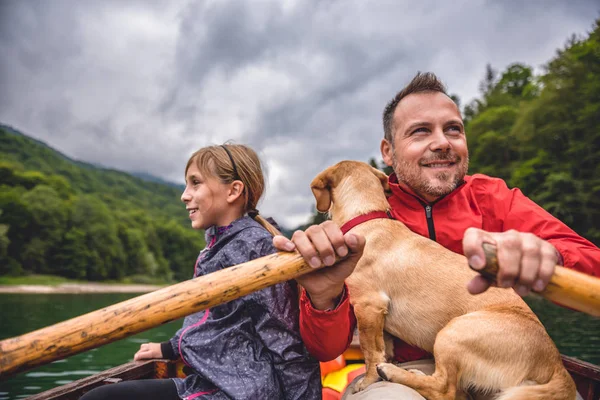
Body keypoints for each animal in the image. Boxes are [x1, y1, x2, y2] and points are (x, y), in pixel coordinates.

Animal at [312, 160, 576, 400]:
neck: (367, 217)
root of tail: (556, 365)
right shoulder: (379, 317)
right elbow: (383, 346)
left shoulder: (368, 306)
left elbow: (370, 352)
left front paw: (367, 381)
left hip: (452, 333)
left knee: (444, 390)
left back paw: (393, 373)